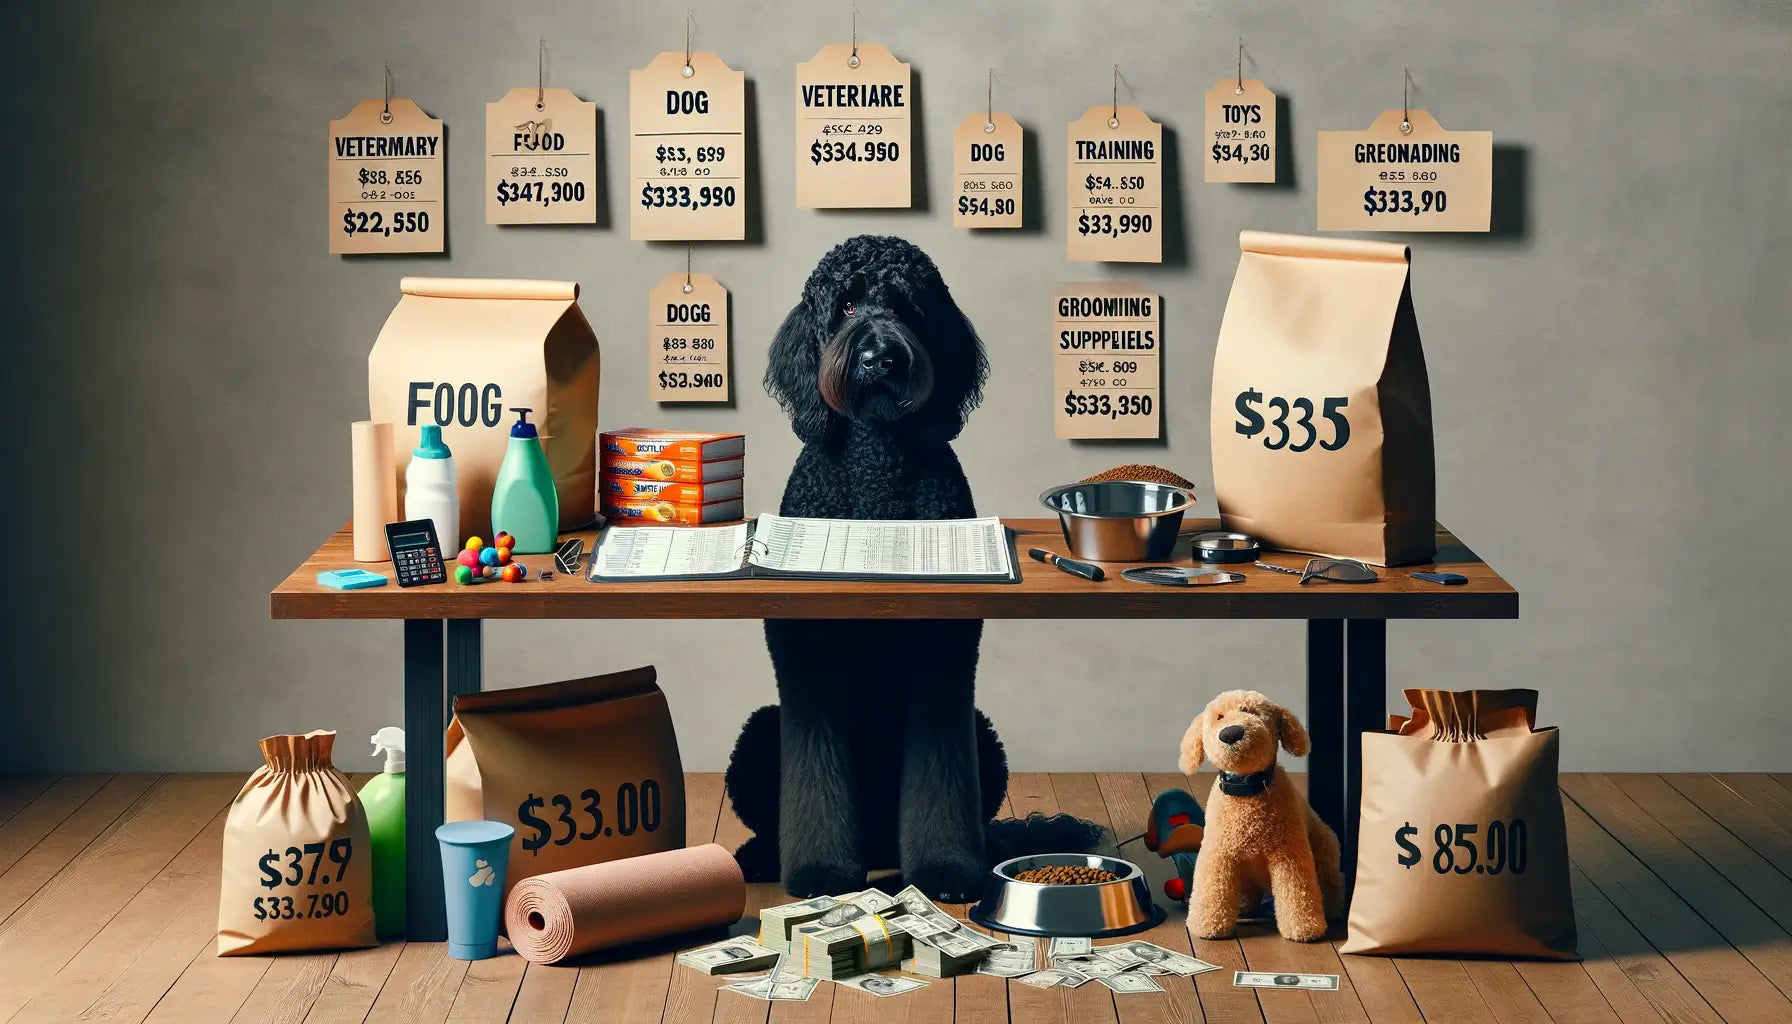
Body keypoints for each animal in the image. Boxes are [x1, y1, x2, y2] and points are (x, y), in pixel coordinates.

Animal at [720, 236, 1096, 900]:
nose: (878, 357)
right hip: (760, 733)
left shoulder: (943, 654)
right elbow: (815, 766)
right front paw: (820, 873)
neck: (877, 462)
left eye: (906, 305)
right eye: (845, 305)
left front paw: (945, 870)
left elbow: (940, 771)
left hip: (983, 735)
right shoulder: (808, 653)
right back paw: (764, 856)